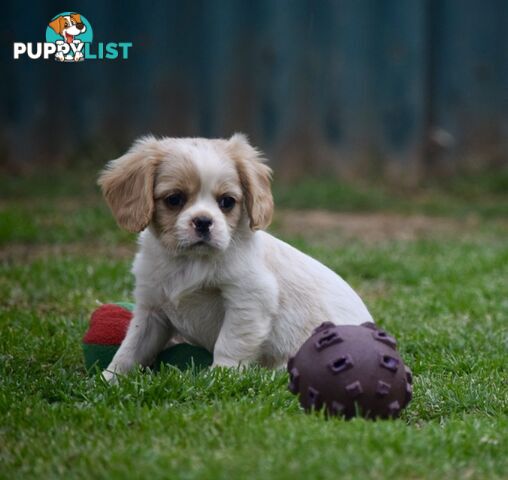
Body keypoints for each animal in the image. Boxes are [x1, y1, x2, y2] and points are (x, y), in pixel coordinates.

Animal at [99, 133, 376, 380]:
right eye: (174, 199)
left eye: (227, 202)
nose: (203, 221)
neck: (190, 261)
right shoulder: (151, 308)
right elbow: (131, 347)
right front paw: (109, 379)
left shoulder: (248, 299)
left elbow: (230, 342)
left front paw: (219, 375)